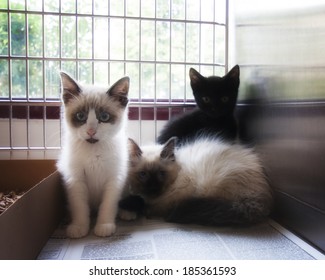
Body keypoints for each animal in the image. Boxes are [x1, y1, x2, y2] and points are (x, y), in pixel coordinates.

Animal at [57, 72, 129, 238]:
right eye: (80, 116)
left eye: (104, 117)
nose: (91, 131)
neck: (93, 149)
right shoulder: (75, 179)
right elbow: (79, 206)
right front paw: (79, 227)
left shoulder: (114, 179)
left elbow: (108, 204)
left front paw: (104, 226)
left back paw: (126, 212)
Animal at [120, 137, 272, 226]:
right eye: (143, 174)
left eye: (161, 174)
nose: (152, 188)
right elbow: (138, 199)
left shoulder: (169, 201)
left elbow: (143, 204)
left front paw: (129, 210)